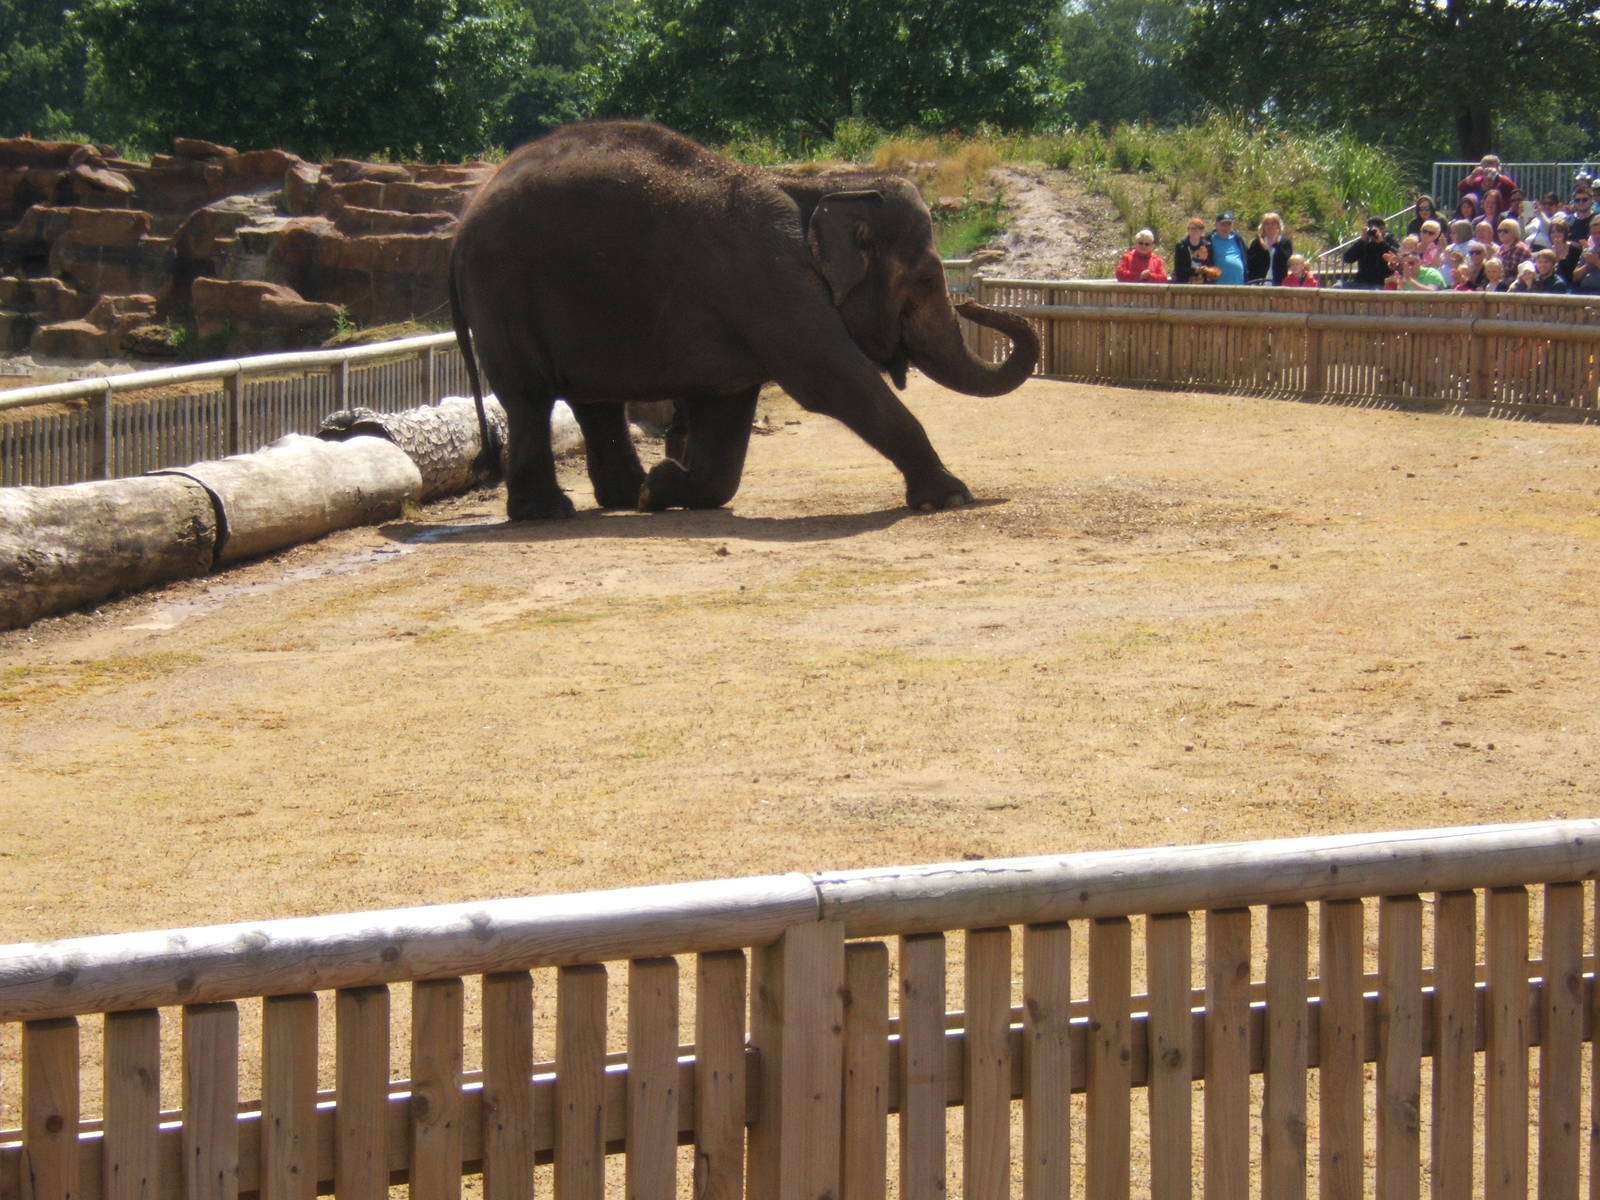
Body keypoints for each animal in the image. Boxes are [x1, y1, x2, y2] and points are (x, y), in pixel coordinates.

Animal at [447, 120, 1038, 520]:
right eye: (926, 282)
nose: (972, 303)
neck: (824, 185)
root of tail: (462, 225)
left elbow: (726, 412)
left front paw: (662, 489)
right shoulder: (770, 278)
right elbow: (832, 381)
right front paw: (952, 496)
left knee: (594, 402)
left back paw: (625, 497)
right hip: (503, 297)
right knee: (529, 398)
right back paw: (550, 512)